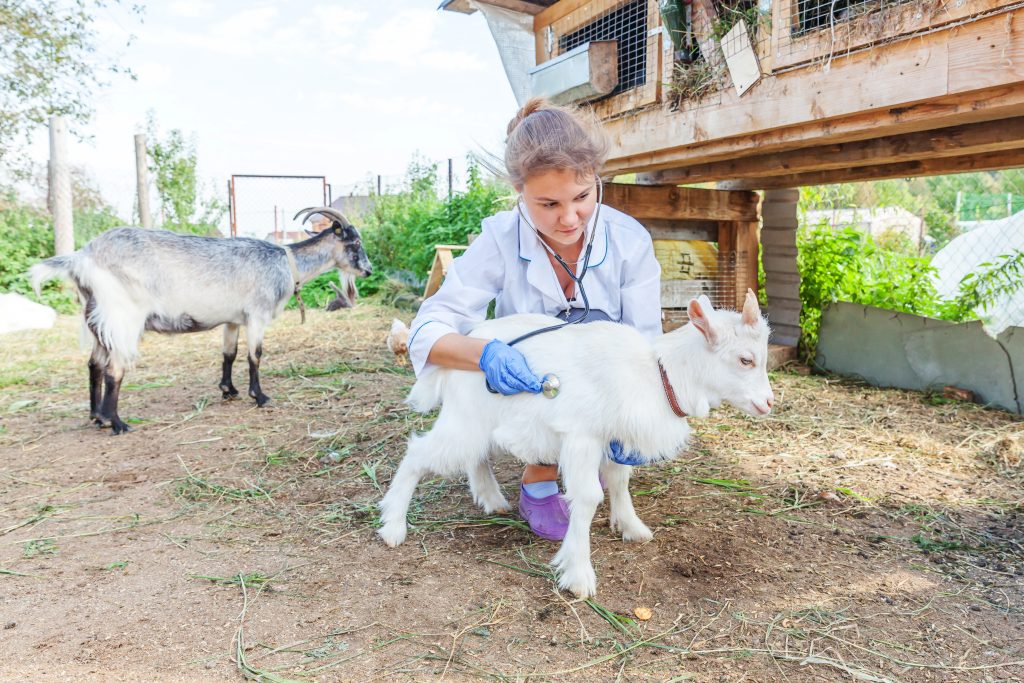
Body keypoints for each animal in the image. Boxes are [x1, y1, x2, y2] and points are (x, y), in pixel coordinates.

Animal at [29, 205, 376, 436]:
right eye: (355, 243)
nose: (369, 270)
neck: (286, 263)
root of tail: (80, 258)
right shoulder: (257, 314)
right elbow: (255, 355)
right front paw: (260, 397)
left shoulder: (233, 320)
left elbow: (229, 354)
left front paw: (228, 390)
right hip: (123, 317)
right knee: (115, 369)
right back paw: (117, 423)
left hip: (98, 318)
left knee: (94, 364)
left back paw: (97, 417)